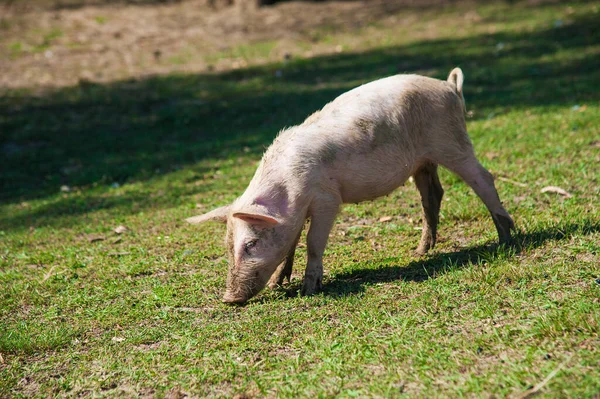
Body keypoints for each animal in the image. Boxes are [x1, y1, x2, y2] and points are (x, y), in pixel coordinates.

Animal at [188, 69, 516, 304]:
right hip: (423, 161)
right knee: (433, 195)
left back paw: (506, 241)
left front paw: (309, 290)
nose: (228, 298)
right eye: (228, 245)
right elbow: (290, 244)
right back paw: (420, 251)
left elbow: (312, 242)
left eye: (251, 244)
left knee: (483, 178)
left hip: (451, 141)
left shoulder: (327, 199)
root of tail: (450, 87)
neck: (289, 189)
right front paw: (276, 284)